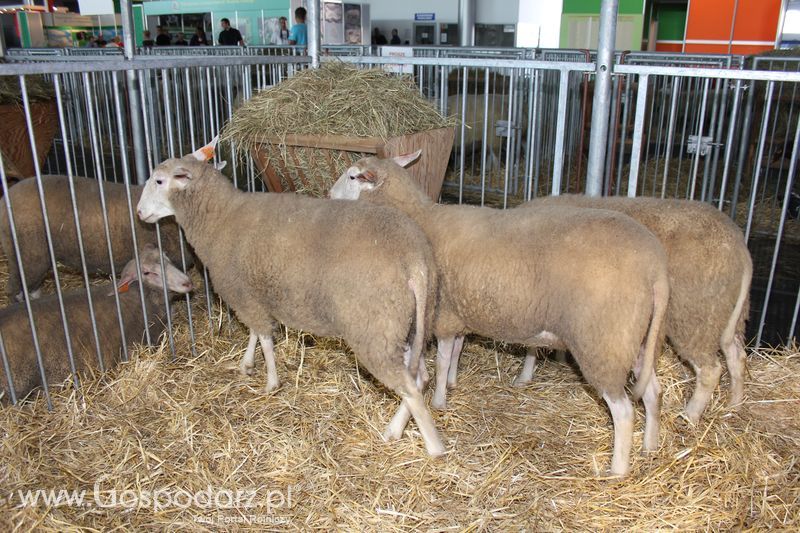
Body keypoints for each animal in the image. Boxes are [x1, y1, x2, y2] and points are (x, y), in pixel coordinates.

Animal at [139, 139, 450, 456]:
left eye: (159, 181)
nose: (139, 213)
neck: (221, 217)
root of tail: (415, 258)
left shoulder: (242, 293)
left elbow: (265, 338)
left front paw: (270, 382)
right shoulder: (252, 293)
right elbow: (255, 332)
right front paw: (247, 364)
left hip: (374, 327)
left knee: (410, 387)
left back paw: (432, 447)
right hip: (408, 322)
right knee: (420, 377)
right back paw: (397, 429)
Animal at [506, 193, 756, 422]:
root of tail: (740, 248)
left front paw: (524, 375)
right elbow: (532, 344)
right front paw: (526, 377)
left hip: (694, 315)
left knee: (710, 370)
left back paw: (690, 415)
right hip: (726, 313)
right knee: (737, 357)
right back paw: (734, 406)